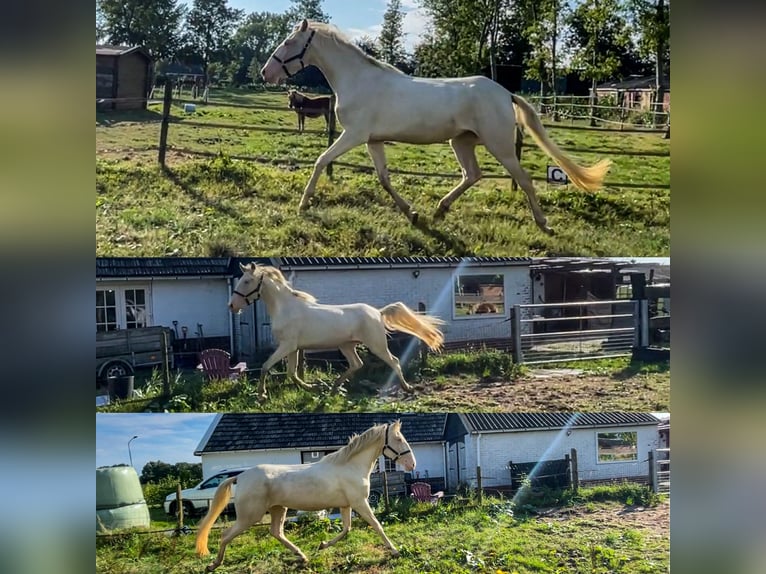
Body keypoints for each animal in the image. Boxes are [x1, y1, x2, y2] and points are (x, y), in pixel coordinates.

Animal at [195, 424, 416, 572]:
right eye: (398, 439)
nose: (411, 464)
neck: (350, 466)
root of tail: (240, 476)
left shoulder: (346, 505)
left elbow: (346, 529)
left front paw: (322, 544)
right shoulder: (359, 503)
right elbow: (377, 525)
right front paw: (395, 551)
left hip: (278, 509)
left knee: (276, 532)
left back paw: (302, 556)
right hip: (249, 516)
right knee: (226, 535)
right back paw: (213, 564)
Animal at [228, 264, 444, 398]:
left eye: (246, 281)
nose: (232, 306)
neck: (286, 308)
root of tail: (377, 312)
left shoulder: (287, 345)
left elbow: (266, 366)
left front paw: (261, 395)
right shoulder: (292, 347)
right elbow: (291, 373)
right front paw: (313, 388)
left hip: (376, 345)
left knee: (394, 361)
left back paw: (407, 387)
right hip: (346, 346)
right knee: (357, 364)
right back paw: (333, 388)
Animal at [260, 20, 616, 235]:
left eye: (289, 42)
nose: (266, 73)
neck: (359, 80)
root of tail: (505, 93)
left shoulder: (354, 135)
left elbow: (321, 160)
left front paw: (303, 203)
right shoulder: (373, 140)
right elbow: (384, 178)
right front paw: (412, 213)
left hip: (499, 144)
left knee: (524, 179)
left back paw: (544, 224)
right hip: (461, 142)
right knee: (472, 175)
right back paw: (440, 210)